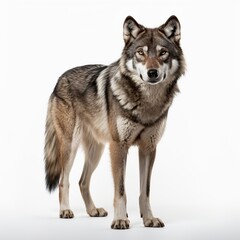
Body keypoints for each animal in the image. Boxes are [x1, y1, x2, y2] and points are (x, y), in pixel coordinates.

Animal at [43, 15, 186, 229]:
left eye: (163, 53)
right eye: (140, 53)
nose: (152, 73)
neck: (147, 103)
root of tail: (59, 79)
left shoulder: (148, 148)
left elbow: (145, 192)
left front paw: (149, 219)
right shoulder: (119, 146)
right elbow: (120, 190)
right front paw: (120, 219)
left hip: (97, 151)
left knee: (82, 181)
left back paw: (93, 210)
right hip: (71, 147)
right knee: (64, 179)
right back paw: (65, 211)